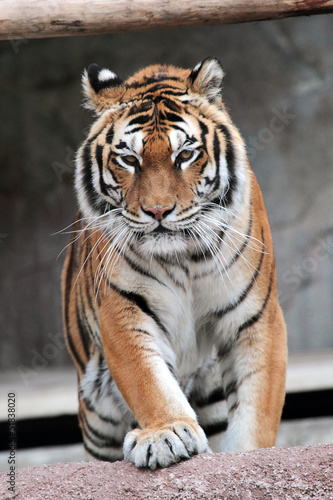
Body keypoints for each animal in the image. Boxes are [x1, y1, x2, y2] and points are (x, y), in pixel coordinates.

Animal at [61, 57, 286, 468]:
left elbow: (257, 405)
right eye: (129, 159)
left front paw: (249, 456)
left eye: (184, 155)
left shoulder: (256, 318)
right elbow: (148, 381)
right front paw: (166, 434)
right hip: (97, 416)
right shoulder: (123, 311)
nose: (158, 211)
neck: (184, 258)